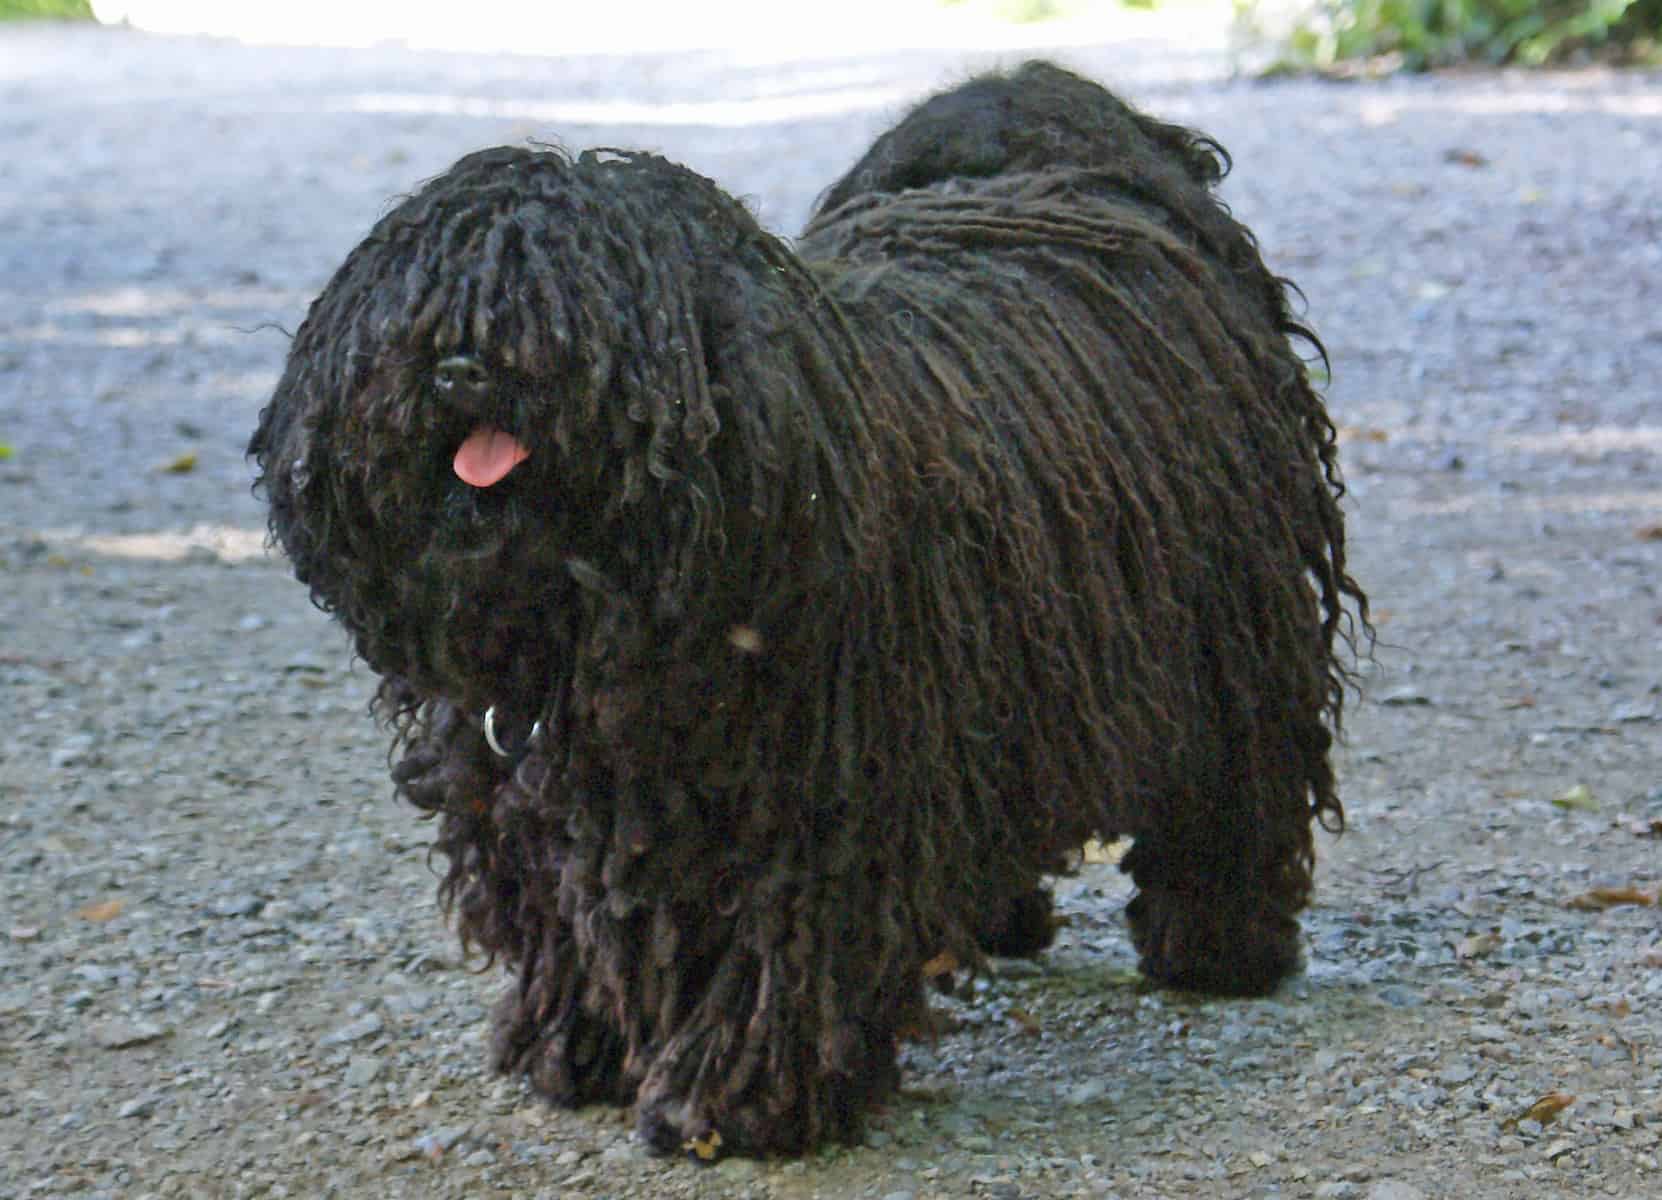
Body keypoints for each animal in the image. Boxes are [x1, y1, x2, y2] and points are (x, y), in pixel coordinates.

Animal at [245, 60, 1362, 1156]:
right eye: (421, 308)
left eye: (567, 311)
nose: (461, 368)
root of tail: (1095, 166)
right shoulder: (524, 796)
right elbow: (568, 921)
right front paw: (578, 1043)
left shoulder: (820, 799)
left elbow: (785, 951)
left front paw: (734, 1102)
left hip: (1230, 633)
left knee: (1236, 786)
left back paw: (1218, 943)